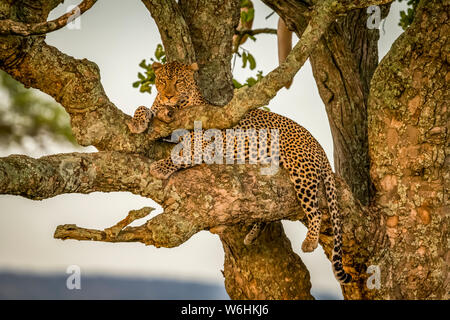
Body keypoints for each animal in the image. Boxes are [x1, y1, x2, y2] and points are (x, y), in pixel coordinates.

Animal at [126, 61, 352, 284]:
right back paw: (252, 235)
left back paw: (310, 241)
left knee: (316, 210)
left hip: (301, 171)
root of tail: (317, 144)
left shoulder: (204, 143)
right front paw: (137, 122)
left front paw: (159, 168)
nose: (168, 96)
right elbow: (144, 108)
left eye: (179, 82)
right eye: (163, 81)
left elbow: (182, 154)